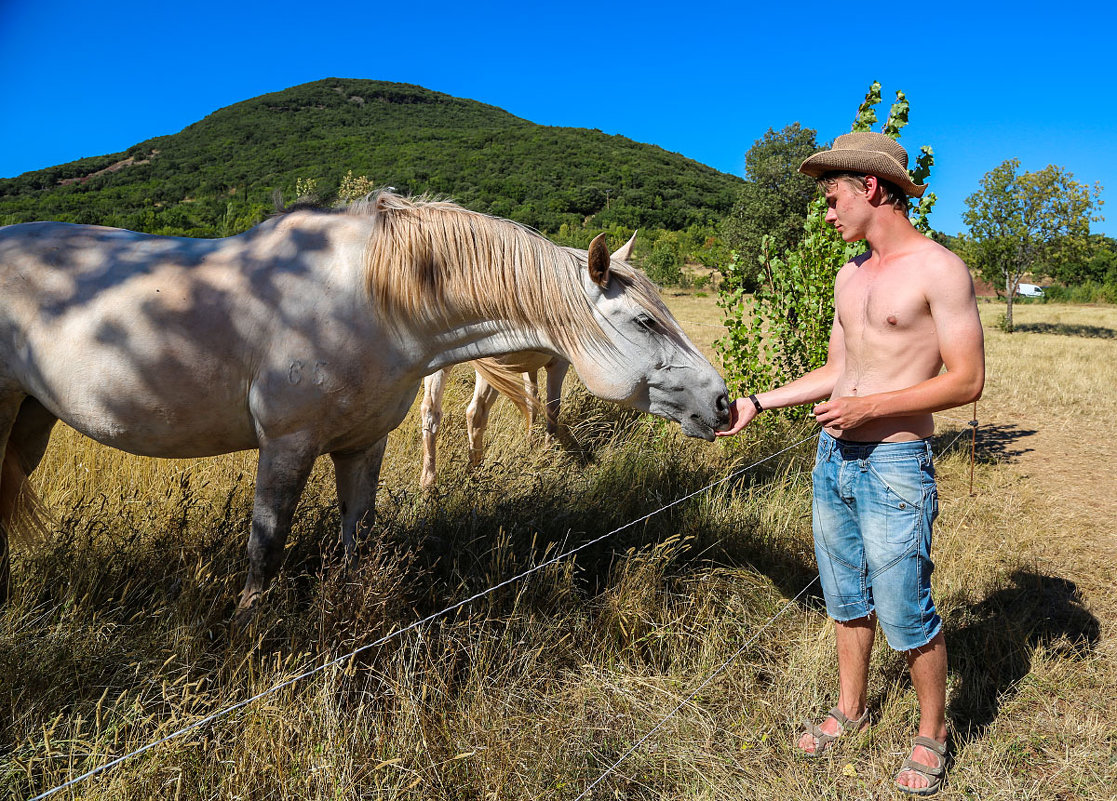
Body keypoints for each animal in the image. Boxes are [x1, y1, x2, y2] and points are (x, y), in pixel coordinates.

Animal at [0, 193, 728, 612]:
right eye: (644, 321)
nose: (724, 403)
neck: (369, 300)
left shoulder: (362, 445)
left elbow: (359, 535)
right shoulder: (287, 445)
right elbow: (267, 544)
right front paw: (250, 625)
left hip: (29, 422)